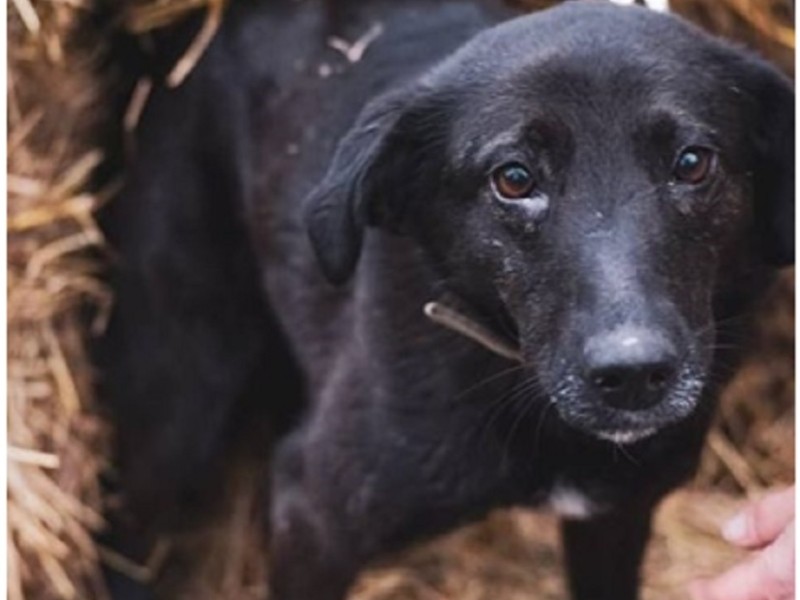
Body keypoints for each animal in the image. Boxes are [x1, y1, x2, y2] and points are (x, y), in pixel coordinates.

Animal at [97, 1, 792, 600]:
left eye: (693, 162)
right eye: (514, 178)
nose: (633, 374)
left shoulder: (615, 516)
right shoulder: (314, 515)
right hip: (181, 384)